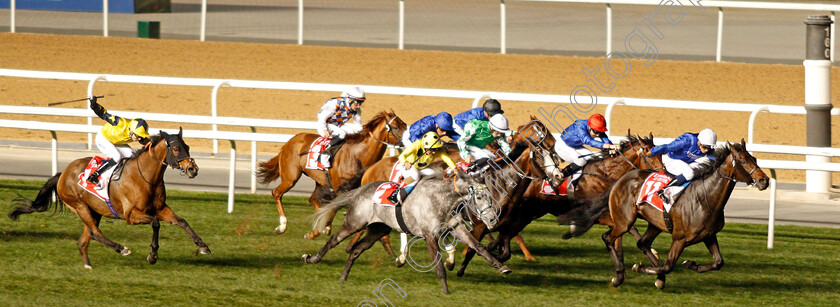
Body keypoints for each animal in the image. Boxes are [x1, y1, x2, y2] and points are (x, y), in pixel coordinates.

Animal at [9, 130, 209, 270]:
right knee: (96, 233)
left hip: (94, 210)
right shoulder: (131, 215)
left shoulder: (160, 208)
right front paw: (152, 255)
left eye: (187, 147)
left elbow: (182, 221)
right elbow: (155, 223)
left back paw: (88, 264)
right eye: (176, 148)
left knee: (85, 238)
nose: (193, 169)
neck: (145, 175)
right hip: (79, 206)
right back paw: (121, 248)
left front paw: (203, 246)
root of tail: (62, 174)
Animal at [256, 112, 406, 239]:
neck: (359, 155)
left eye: (404, 124)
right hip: (290, 177)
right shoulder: (340, 189)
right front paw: (316, 232)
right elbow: (334, 208)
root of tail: (289, 141)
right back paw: (282, 226)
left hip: (319, 181)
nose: (408, 139)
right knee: (277, 193)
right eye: (396, 127)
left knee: (313, 199)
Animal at [306, 171, 508, 296]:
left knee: (356, 250)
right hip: (355, 223)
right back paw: (312, 259)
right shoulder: (429, 235)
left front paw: (501, 266)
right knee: (334, 240)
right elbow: (439, 265)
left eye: (491, 196)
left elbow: (478, 247)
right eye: (479, 197)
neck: (441, 199)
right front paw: (445, 290)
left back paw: (343, 277)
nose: (493, 220)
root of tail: (361, 190)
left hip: (377, 230)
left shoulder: (455, 227)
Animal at [456, 132, 668, 276]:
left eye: (661, 154)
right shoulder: (596, 214)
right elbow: (629, 230)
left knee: (506, 234)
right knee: (503, 233)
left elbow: (628, 232)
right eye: (650, 154)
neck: (605, 173)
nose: (664, 173)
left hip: (528, 213)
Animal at [592, 141, 768, 290]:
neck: (705, 198)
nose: (764, 180)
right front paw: (639, 267)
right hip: (624, 221)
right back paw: (619, 276)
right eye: (743, 161)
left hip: (655, 223)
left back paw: (654, 276)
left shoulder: (709, 235)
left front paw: (689, 264)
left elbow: (719, 262)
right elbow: (668, 266)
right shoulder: (679, 238)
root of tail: (620, 179)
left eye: (754, 158)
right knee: (608, 238)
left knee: (643, 243)